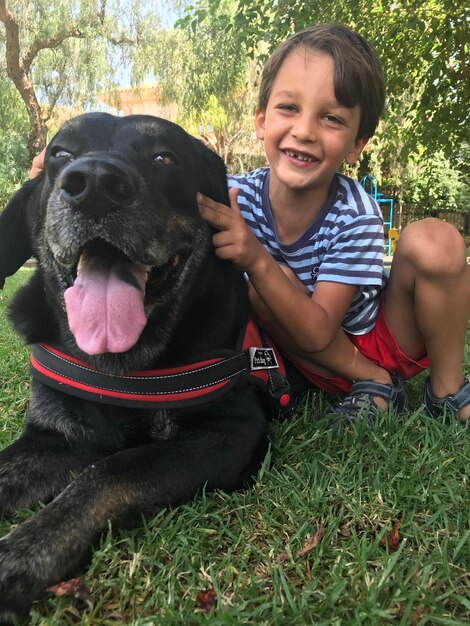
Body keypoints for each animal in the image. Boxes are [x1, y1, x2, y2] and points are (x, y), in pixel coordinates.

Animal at [0, 113, 298, 620]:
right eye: (60, 153)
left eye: (164, 158)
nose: (94, 184)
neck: (117, 366)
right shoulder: (57, 436)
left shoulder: (230, 430)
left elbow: (114, 469)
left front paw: (22, 551)